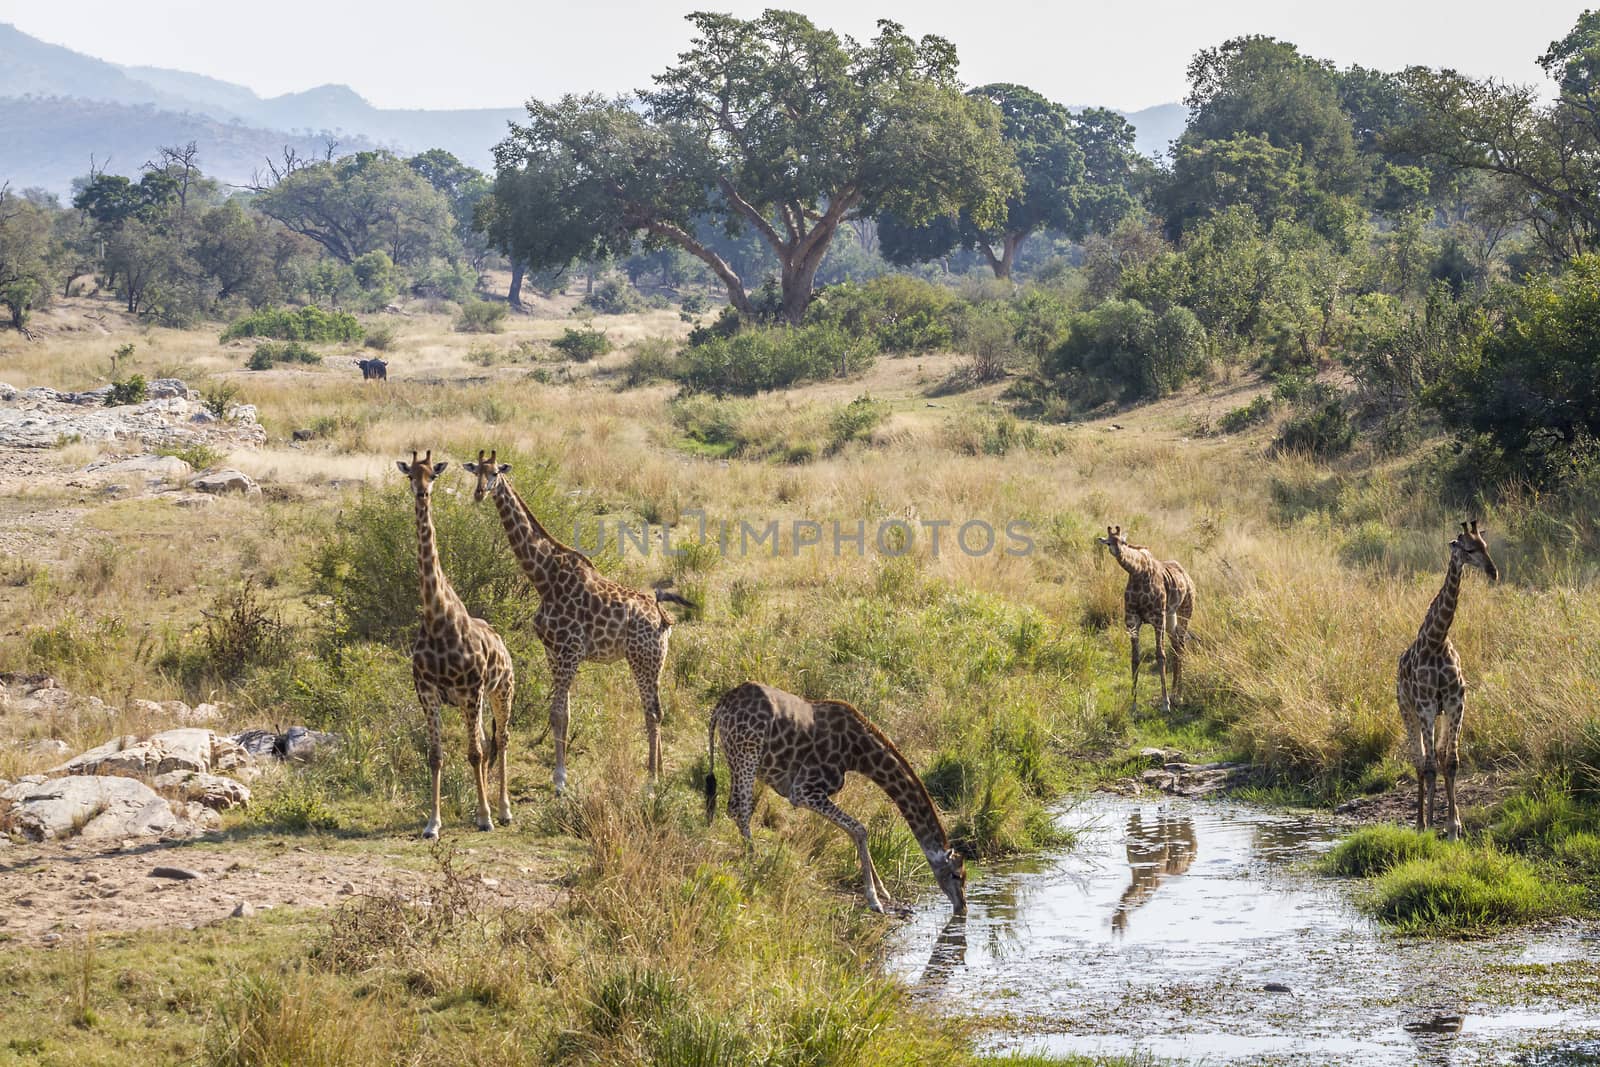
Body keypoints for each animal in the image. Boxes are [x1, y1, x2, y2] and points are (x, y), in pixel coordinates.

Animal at [398, 451, 515, 844]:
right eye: (410, 475)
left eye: (433, 474)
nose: (422, 494)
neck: (438, 620)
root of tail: (502, 642)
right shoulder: (427, 691)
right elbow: (436, 755)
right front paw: (432, 824)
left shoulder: (471, 690)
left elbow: (475, 753)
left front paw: (485, 817)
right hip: (477, 700)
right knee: (487, 741)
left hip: (501, 691)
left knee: (501, 740)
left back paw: (504, 810)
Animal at [460, 451, 691, 793]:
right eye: (476, 471)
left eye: (496, 473)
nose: (479, 493)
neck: (544, 578)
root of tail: (663, 617)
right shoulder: (553, 652)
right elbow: (564, 714)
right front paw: (560, 773)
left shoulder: (570, 651)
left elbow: (556, 713)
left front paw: (559, 780)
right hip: (655, 660)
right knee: (656, 710)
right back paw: (659, 771)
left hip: (642, 657)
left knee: (652, 711)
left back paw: (651, 780)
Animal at [707, 684, 966, 921]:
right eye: (956, 875)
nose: (962, 908)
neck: (858, 754)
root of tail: (722, 705)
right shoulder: (803, 791)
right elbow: (860, 829)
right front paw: (874, 900)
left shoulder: (809, 793)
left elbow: (854, 831)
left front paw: (882, 891)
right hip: (747, 753)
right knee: (741, 808)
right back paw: (755, 860)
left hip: (734, 755)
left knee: (733, 806)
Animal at [1094, 527, 1196, 716]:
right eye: (1109, 543)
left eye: (1124, 542)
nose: (1119, 552)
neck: (1137, 573)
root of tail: (1186, 575)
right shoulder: (1132, 620)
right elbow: (1135, 659)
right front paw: (1133, 705)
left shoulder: (1157, 618)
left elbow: (1160, 656)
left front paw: (1165, 704)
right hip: (1171, 616)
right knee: (1176, 646)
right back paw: (1174, 693)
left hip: (1185, 611)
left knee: (1181, 645)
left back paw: (1178, 696)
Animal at [1401, 521, 1497, 838]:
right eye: (1468, 548)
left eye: (1485, 546)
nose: (1493, 572)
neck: (1436, 640)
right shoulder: (1426, 706)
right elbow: (1430, 765)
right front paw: (1430, 824)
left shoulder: (1456, 702)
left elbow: (1451, 762)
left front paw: (1454, 826)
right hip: (1408, 711)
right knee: (1420, 761)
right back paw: (1422, 822)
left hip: (1439, 714)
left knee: (1439, 756)